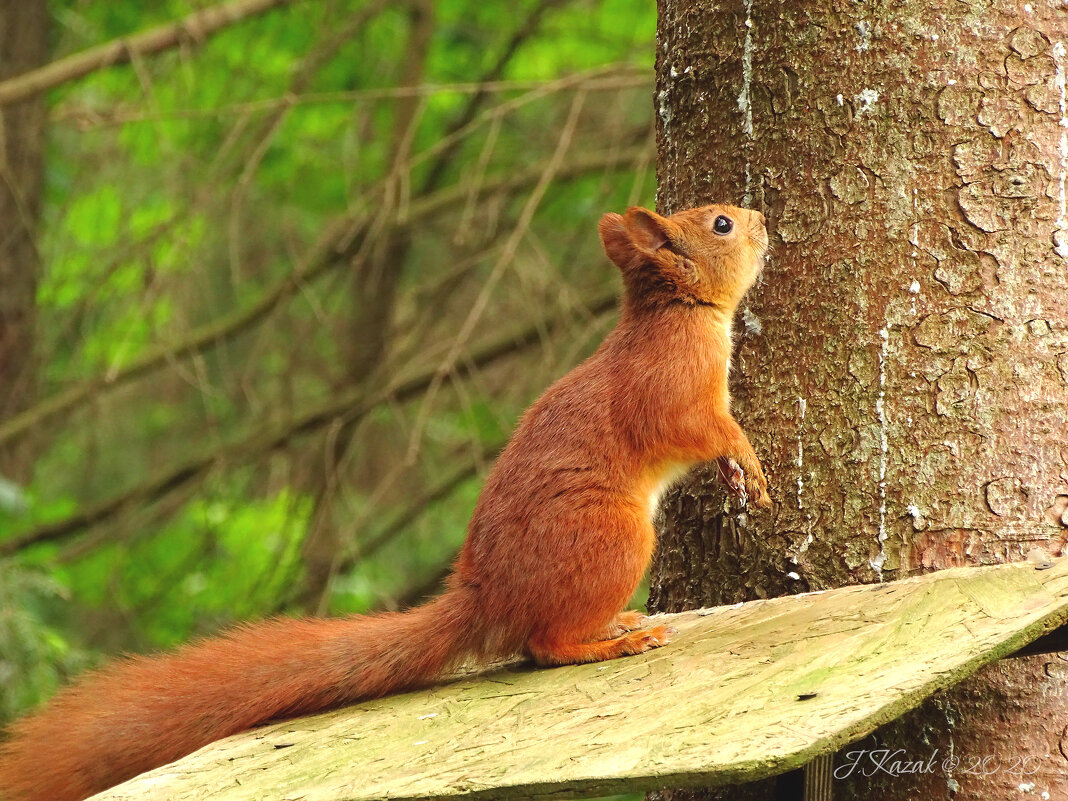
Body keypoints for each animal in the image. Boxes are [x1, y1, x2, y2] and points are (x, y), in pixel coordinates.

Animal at [0, 201, 768, 801]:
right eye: (721, 224)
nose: (761, 217)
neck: (679, 313)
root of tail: (490, 597)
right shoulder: (673, 390)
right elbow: (704, 428)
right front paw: (750, 464)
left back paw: (617, 623)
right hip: (615, 537)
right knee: (544, 646)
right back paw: (616, 639)